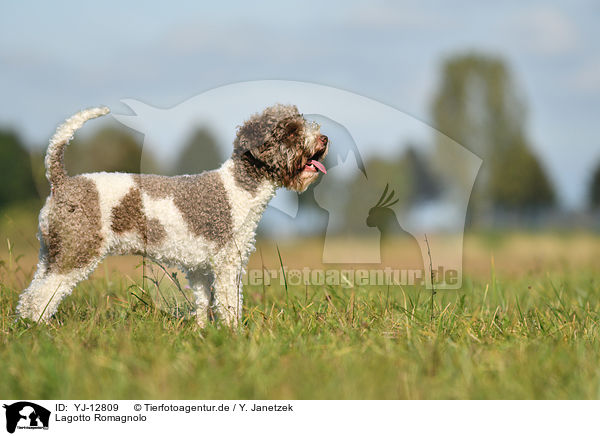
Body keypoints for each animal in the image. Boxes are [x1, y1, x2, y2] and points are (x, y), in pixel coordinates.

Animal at [16, 104, 330, 326]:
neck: (239, 187)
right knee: (42, 297)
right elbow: (230, 304)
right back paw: (41, 330)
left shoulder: (201, 268)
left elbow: (204, 304)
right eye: (291, 130)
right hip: (76, 253)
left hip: (50, 253)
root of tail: (61, 181)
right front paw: (234, 336)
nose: (324, 138)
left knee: (29, 296)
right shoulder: (227, 263)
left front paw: (204, 333)